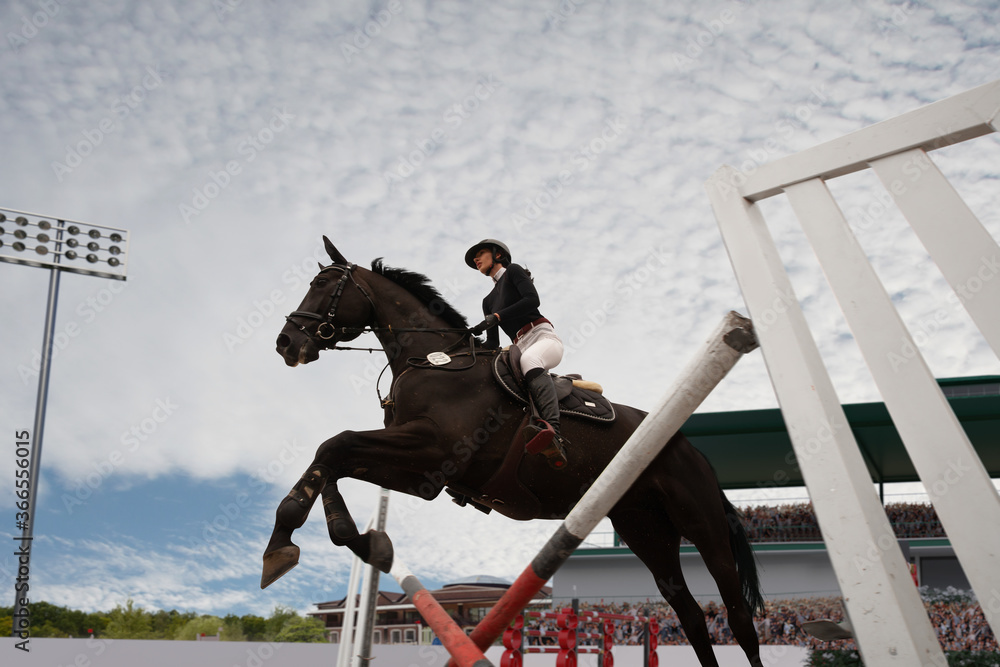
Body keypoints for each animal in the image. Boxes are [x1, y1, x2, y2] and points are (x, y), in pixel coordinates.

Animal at [262, 237, 760, 664]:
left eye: (322, 285)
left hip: (701, 524)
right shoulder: (419, 472)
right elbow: (332, 460)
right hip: (645, 529)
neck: (434, 361)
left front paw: (283, 543)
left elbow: (336, 444)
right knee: (691, 614)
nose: (286, 343)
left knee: (737, 615)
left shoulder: (432, 453)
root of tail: (691, 449)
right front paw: (354, 541)